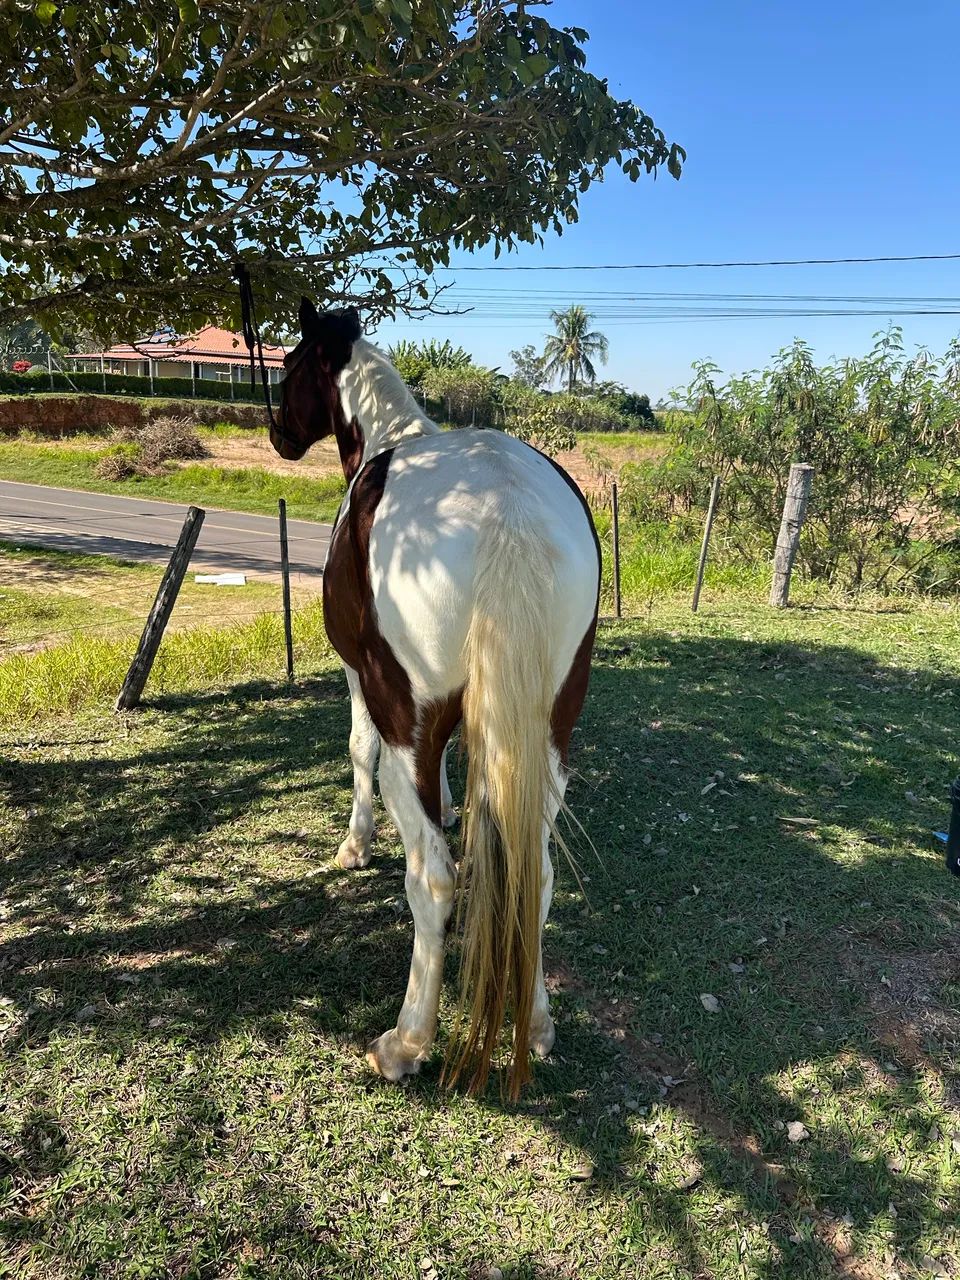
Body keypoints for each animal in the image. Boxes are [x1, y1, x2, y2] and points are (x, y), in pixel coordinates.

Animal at [271, 299, 600, 1097]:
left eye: (289, 366)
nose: (277, 433)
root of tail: (504, 506)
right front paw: (449, 803)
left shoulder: (361, 679)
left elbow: (356, 749)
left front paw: (354, 845)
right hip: (549, 732)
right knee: (536, 874)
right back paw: (536, 1025)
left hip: (407, 725)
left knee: (436, 879)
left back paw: (407, 1042)